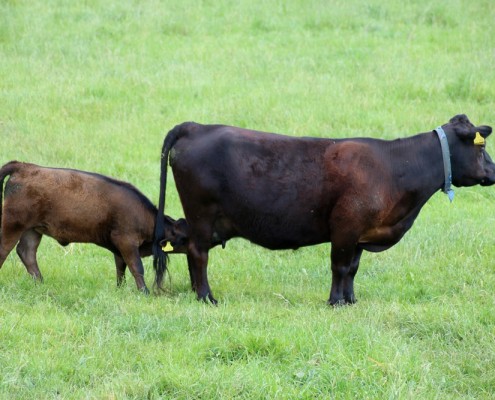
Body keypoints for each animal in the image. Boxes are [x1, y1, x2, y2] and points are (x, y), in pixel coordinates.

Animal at [153, 114, 494, 304]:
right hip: (201, 214)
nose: (492, 172)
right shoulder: (345, 226)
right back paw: (206, 297)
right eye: (481, 147)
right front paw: (335, 302)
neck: (395, 167)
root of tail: (196, 127)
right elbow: (340, 267)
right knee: (198, 253)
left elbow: (353, 268)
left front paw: (351, 300)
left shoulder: (360, 234)